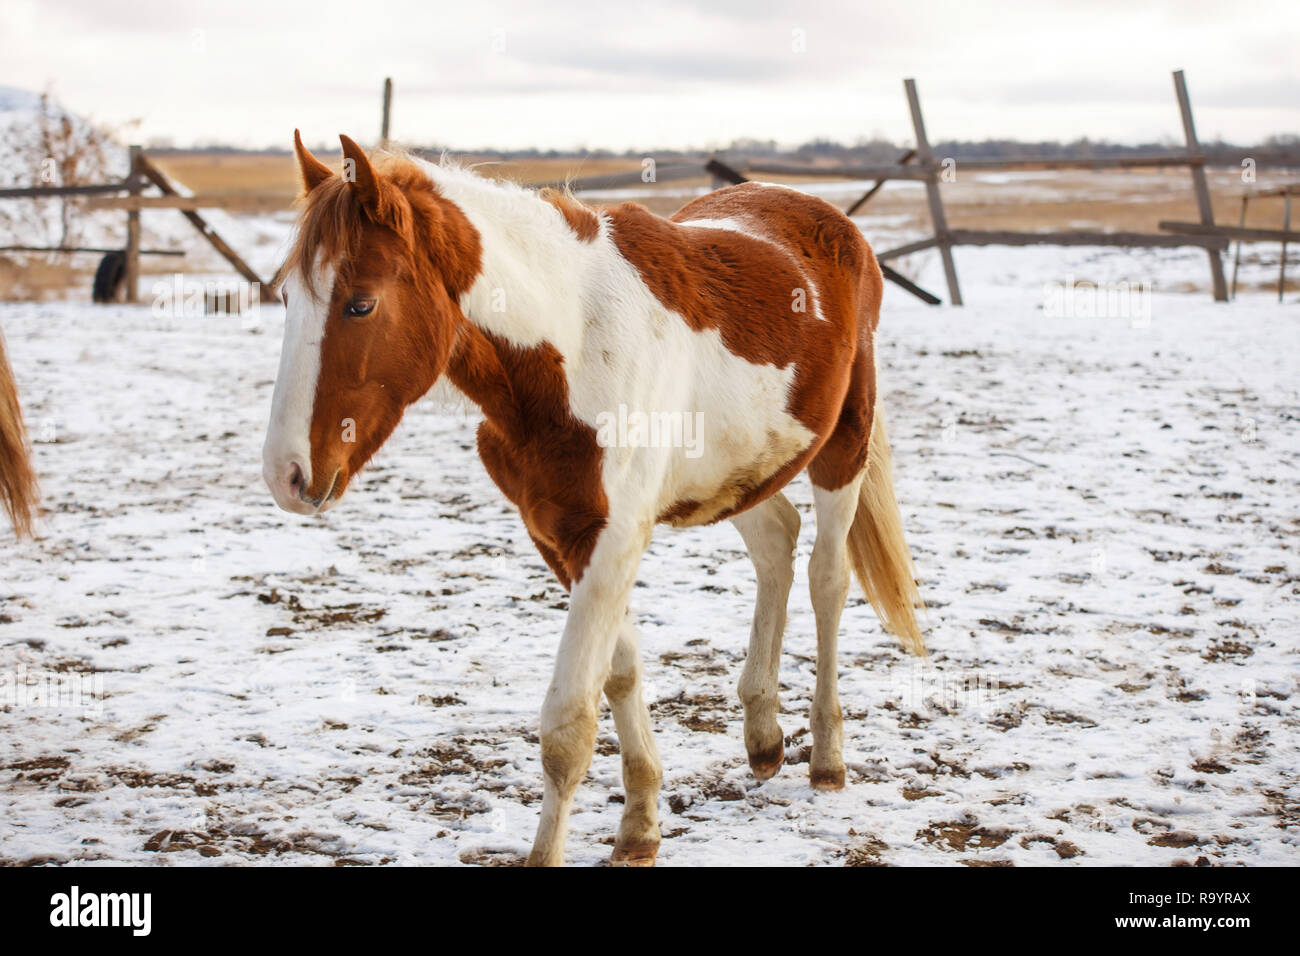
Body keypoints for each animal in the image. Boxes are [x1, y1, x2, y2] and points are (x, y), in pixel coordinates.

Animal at [263, 132, 926, 866]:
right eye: (288, 297)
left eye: (361, 304)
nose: (286, 474)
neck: (573, 345)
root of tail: (832, 222)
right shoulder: (562, 535)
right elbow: (620, 673)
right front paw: (640, 823)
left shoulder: (612, 539)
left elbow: (568, 725)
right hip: (748, 469)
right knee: (777, 546)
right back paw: (763, 735)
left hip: (843, 445)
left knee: (826, 578)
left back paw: (828, 755)